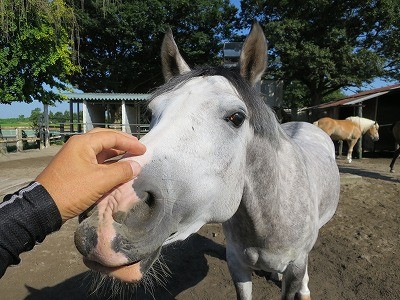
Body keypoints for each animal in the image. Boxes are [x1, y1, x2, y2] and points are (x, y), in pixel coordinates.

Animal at [73, 23, 340, 300]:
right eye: (149, 113)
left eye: (237, 118)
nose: (105, 213)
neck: (272, 214)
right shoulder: (237, 264)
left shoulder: (295, 266)